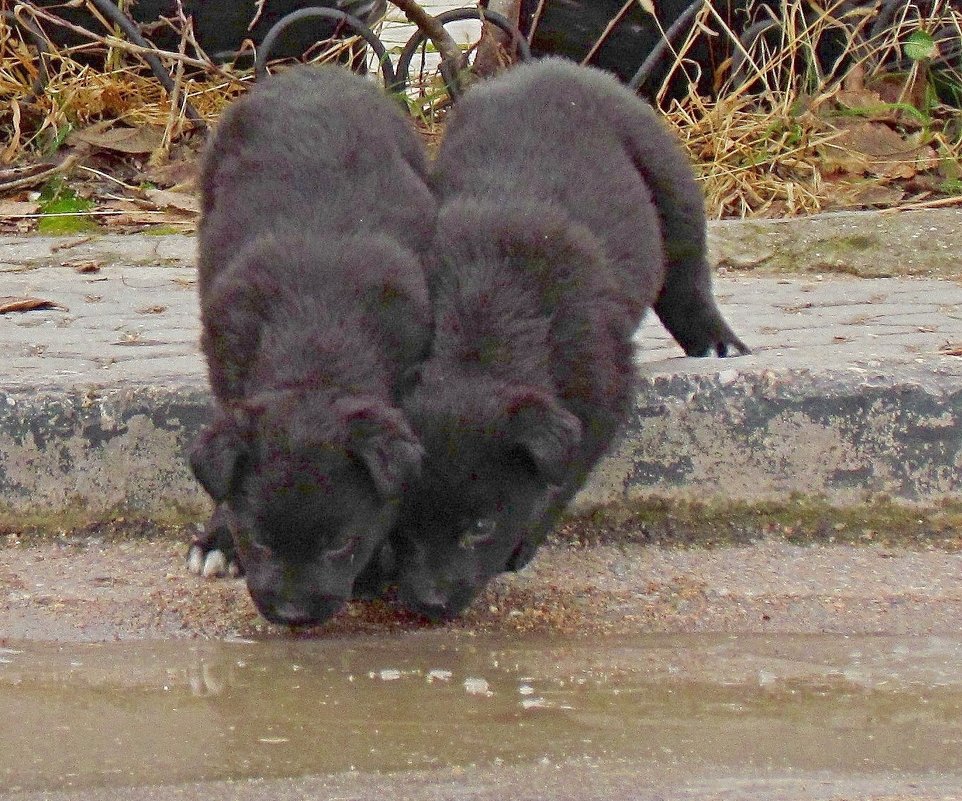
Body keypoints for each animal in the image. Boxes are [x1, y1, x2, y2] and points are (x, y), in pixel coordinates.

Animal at [187, 65, 432, 624]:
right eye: (258, 542)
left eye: (340, 545)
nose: (294, 614)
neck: (315, 345)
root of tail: (313, 71)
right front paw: (218, 540)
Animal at [386, 59, 748, 620]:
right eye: (401, 523)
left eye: (481, 527)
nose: (429, 604)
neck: (484, 320)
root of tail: (552, 65)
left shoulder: (601, 389)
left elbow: (563, 476)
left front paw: (522, 544)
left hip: (670, 183)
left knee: (687, 278)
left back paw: (716, 345)